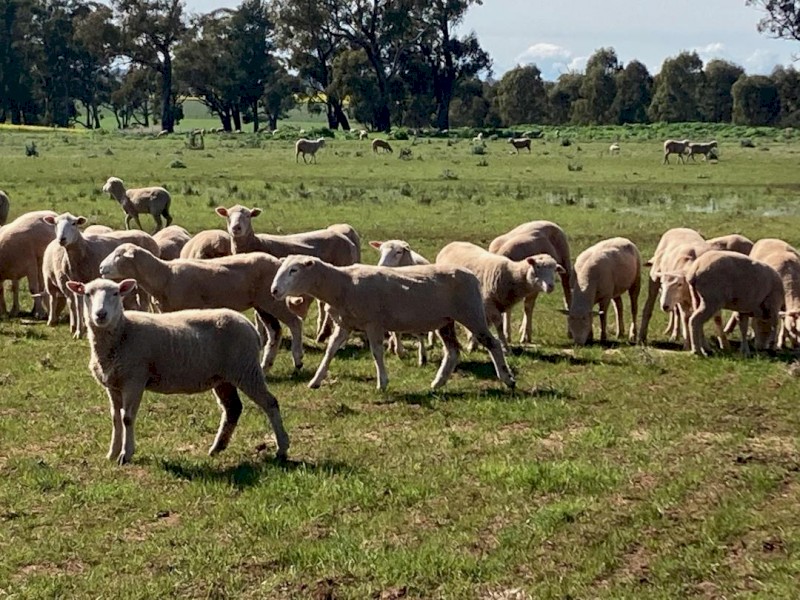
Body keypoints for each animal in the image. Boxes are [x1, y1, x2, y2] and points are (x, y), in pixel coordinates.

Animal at [65, 278, 290, 465]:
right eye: (87, 294)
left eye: (115, 293)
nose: (100, 315)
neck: (122, 332)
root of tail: (249, 325)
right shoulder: (113, 384)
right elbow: (115, 418)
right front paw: (112, 453)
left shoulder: (134, 379)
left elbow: (126, 418)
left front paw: (125, 455)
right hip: (223, 377)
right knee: (233, 408)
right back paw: (217, 448)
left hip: (246, 368)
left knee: (270, 403)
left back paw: (282, 448)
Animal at [270, 256, 516, 391]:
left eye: (294, 270)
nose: (274, 291)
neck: (341, 285)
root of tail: (471, 275)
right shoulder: (345, 324)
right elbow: (330, 351)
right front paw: (315, 380)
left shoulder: (373, 323)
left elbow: (376, 352)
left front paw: (382, 382)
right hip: (445, 321)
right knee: (453, 351)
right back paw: (438, 383)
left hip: (471, 313)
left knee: (492, 344)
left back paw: (507, 379)